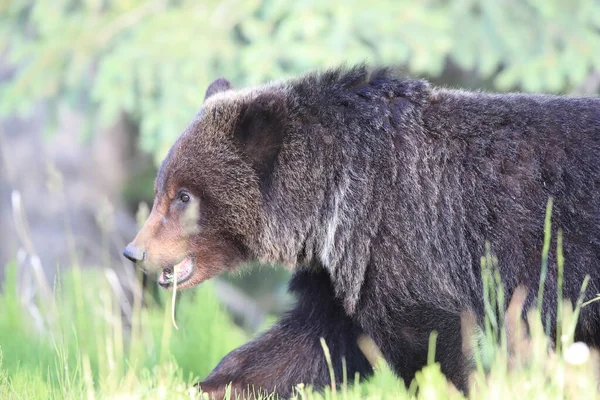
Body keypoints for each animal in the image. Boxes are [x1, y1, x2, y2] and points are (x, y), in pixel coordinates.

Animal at [122, 65, 600, 396]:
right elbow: (310, 345)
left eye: (183, 196)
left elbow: (429, 347)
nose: (134, 251)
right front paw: (201, 385)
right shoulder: (343, 271)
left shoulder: (402, 242)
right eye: (161, 187)